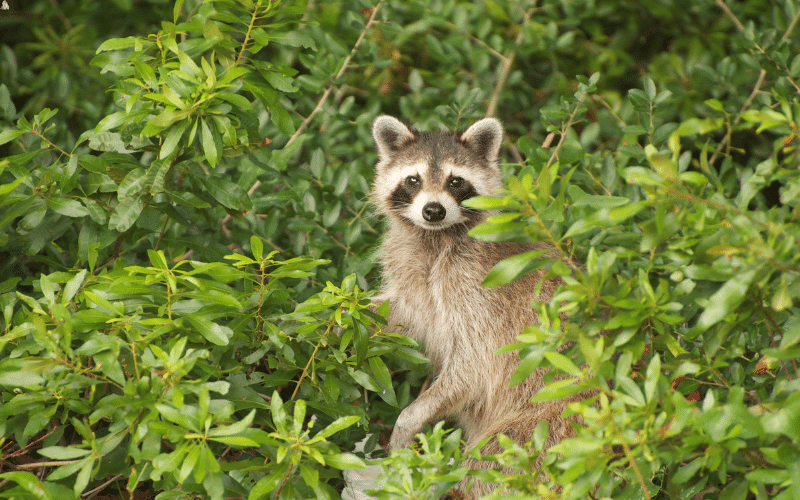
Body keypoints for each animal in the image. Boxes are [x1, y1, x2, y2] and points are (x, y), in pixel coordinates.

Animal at [370, 116, 588, 496]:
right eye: (413, 180)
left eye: (455, 181)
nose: (433, 211)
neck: (436, 237)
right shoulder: (411, 268)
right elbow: (401, 312)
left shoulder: (481, 292)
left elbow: (471, 368)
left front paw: (410, 418)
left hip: (547, 427)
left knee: (490, 467)